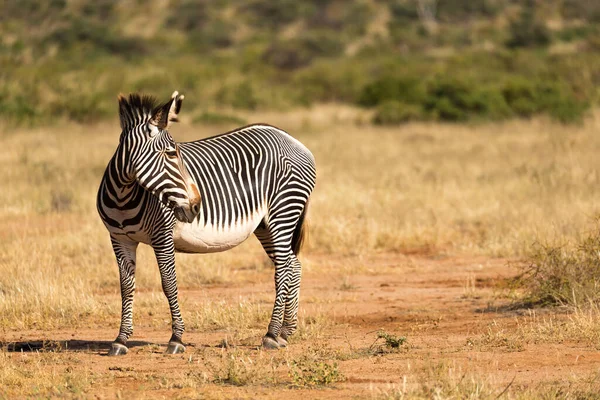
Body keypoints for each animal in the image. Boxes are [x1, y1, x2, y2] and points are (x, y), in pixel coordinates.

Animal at [96, 91, 316, 356]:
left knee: (283, 269)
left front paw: (176, 338)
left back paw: (271, 334)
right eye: (171, 154)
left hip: (283, 211)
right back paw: (285, 331)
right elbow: (126, 287)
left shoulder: (162, 236)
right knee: (294, 265)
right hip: (265, 225)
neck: (123, 196)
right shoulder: (119, 239)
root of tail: (292, 139)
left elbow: (169, 283)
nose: (196, 206)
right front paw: (120, 339)